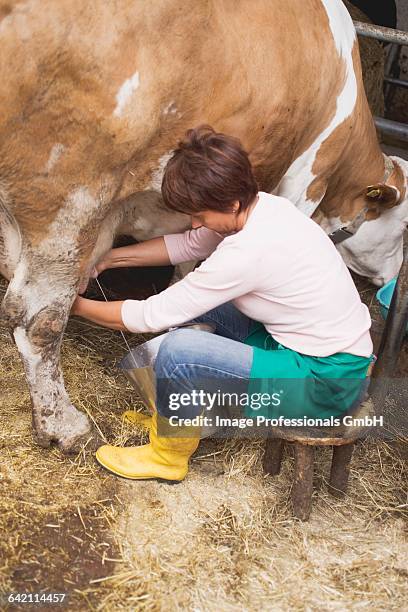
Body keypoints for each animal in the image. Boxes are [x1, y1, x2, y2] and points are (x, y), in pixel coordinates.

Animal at [0, 0, 408, 452]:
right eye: (403, 227)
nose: (395, 277)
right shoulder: (304, 181)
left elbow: (187, 257)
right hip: (71, 198)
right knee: (35, 317)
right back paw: (63, 425)